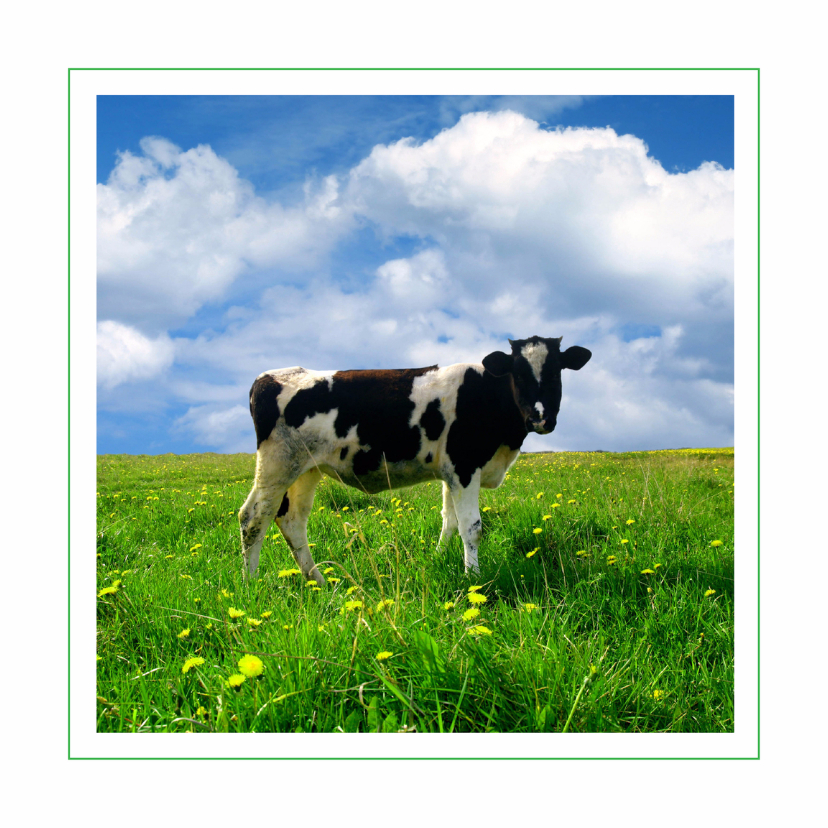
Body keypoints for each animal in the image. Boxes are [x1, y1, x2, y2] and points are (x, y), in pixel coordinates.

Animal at [238, 336, 591, 582]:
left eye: (556, 373)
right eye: (518, 373)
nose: (540, 418)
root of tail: (269, 376)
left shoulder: (452, 473)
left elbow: (449, 522)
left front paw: (439, 560)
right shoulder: (465, 467)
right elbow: (472, 527)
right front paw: (474, 579)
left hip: (306, 470)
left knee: (292, 520)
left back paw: (319, 581)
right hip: (277, 464)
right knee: (253, 517)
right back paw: (251, 584)